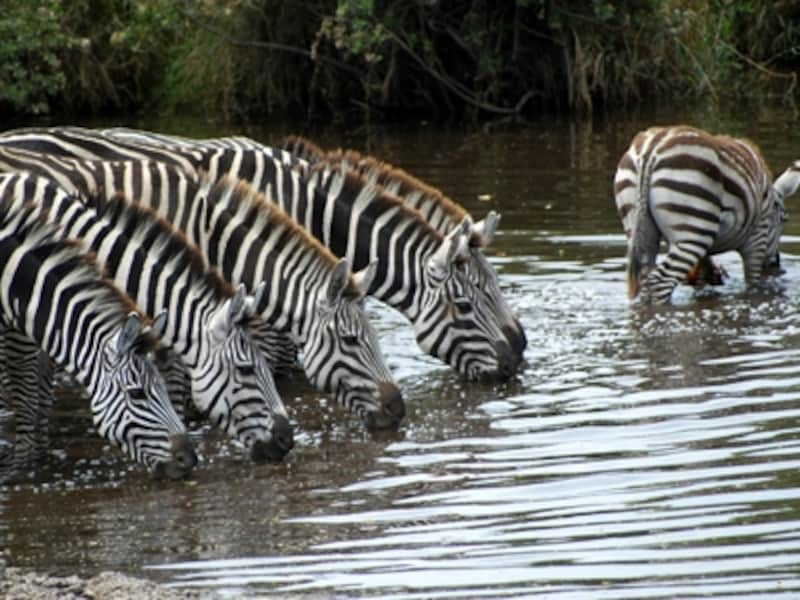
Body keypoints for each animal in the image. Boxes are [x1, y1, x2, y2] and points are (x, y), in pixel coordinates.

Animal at [612, 126, 800, 304]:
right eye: (784, 219)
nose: (776, 265)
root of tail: (650, 151)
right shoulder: (756, 238)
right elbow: (753, 283)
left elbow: (701, 278)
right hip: (691, 232)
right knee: (660, 283)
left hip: (642, 229)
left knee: (644, 281)